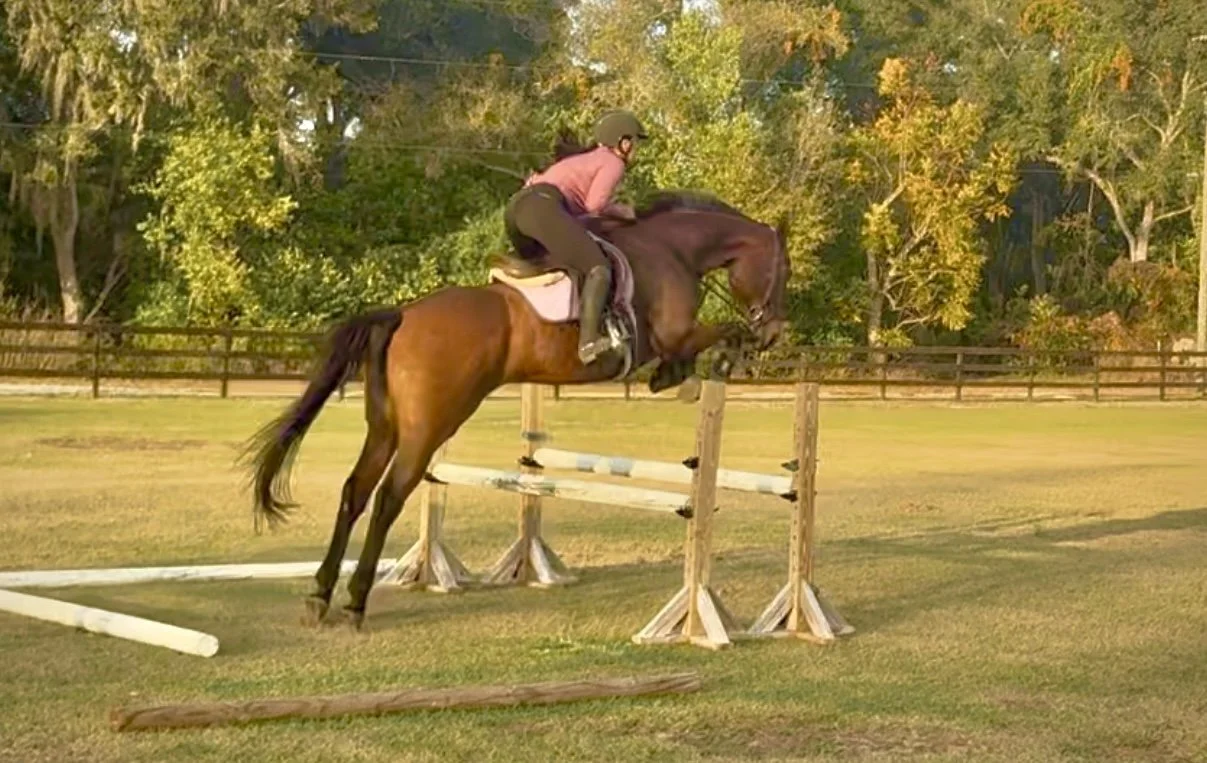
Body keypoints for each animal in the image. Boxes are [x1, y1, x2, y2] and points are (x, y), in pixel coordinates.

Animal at [245, 191, 791, 629]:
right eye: (783, 271)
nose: (773, 333)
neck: (673, 250)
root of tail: (402, 314)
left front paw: (683, 375)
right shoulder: (676, 333)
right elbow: (715, 334)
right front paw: (712, 363)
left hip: (386, 426)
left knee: (355, 492)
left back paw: (320, 595)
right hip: (429, 426)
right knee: (388, 498)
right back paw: (355, 601)